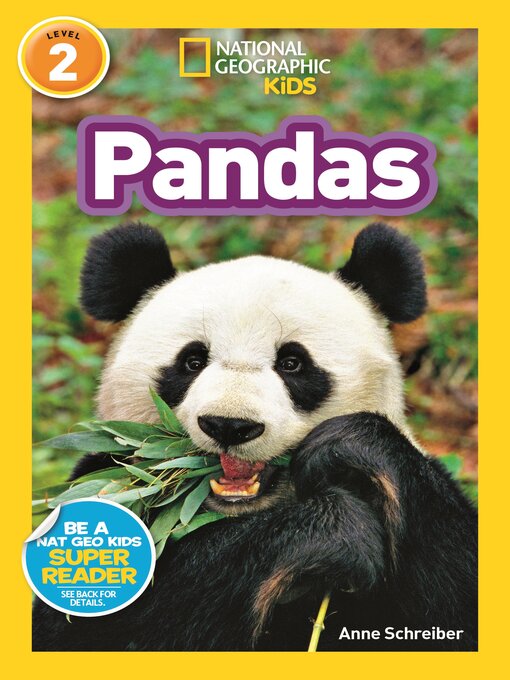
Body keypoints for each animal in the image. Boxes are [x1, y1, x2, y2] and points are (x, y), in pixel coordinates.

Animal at [32, 221, 477, 651]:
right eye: (192, 361)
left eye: (293, 363)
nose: (229, 425)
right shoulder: (109, 482)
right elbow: (98, 622)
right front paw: (335, 530)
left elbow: (454, 597)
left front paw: (349, 447)